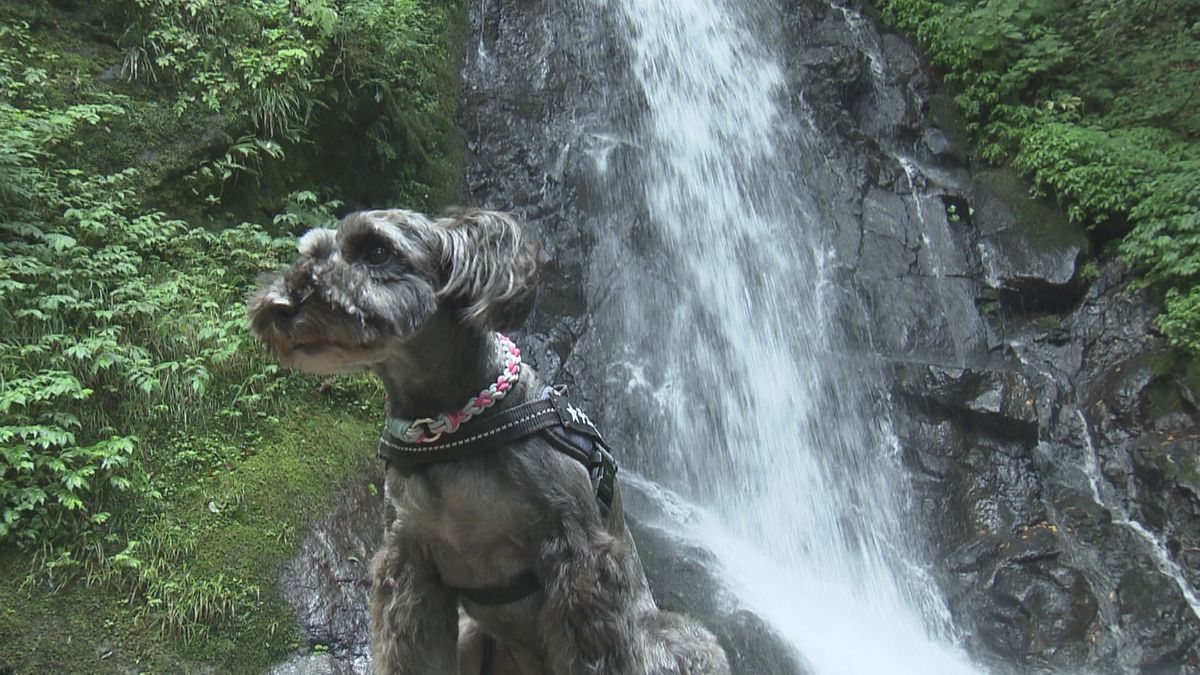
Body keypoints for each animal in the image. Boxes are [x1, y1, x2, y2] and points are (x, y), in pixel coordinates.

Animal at [248, 207, 724, 667]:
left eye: (378, 251)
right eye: (310, 252)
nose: (279, 305)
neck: (448, 428)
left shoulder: (580, 564)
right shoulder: (409, 568)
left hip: (683, 637)